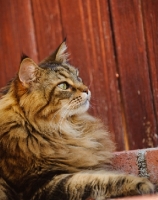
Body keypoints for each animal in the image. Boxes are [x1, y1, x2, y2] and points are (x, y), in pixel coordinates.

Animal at [0, 39, 154, 199]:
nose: (87, 89)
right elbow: (95, 180)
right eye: (63, 85)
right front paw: (141, 183)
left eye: (78, 76)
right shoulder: (37, 185)